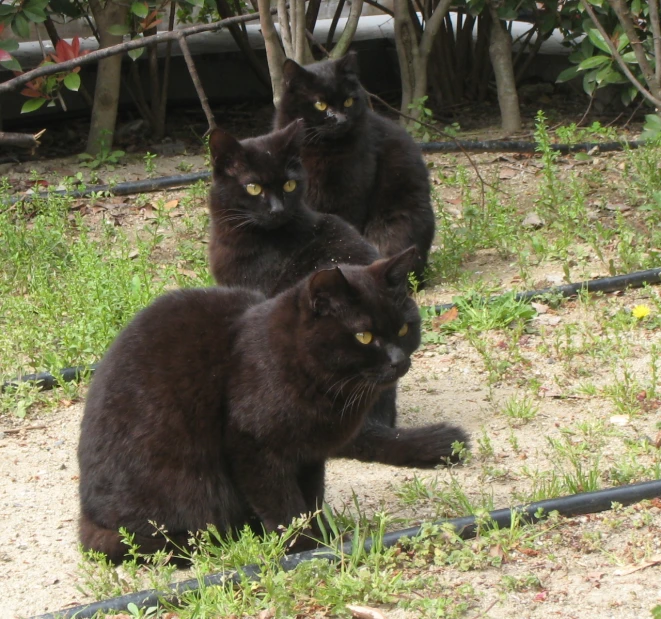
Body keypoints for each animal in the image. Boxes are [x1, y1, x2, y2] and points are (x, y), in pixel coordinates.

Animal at [77, 251, 418, 560]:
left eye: (403, 328)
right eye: (364, 336)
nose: (398, 360)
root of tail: (87, 512)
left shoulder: (309, 455)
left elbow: (311, 498)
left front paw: (322, 535)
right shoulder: (253, 447)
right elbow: (283, 506)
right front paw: (303, 547)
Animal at [272, 52, 434, 284]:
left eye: (348, 101)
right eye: (320, 104)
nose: (340, 120)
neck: (320, 149)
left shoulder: (352, 196)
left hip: (399, 220)